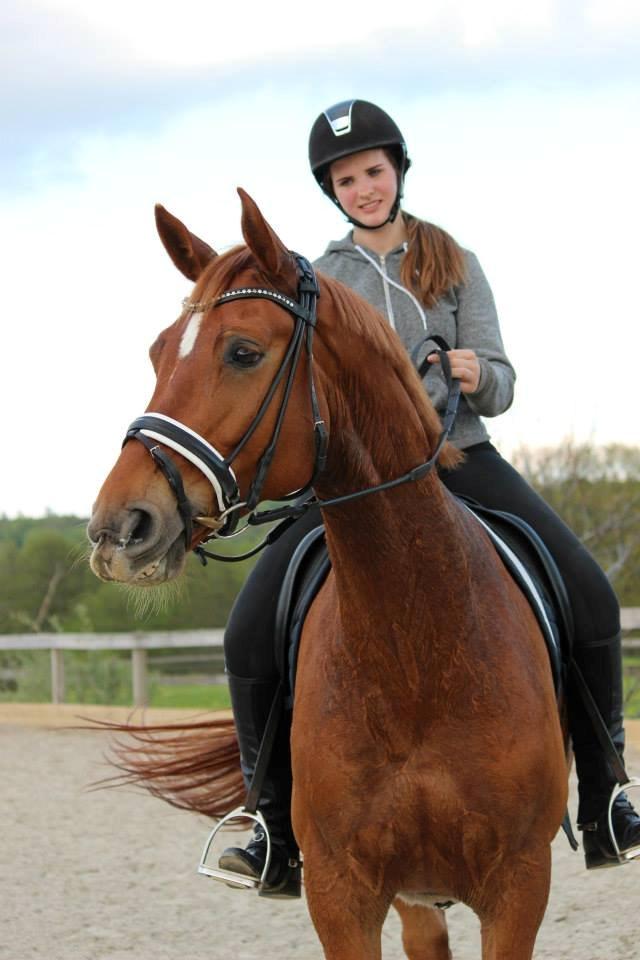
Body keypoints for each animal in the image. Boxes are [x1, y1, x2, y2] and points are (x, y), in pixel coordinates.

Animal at [89, 191, 564, 956]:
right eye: (158, 351)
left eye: (243, 352)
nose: (117, 530)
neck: (416, 646)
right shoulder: (341, 893)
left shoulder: (520, 887)